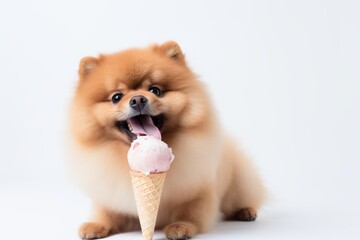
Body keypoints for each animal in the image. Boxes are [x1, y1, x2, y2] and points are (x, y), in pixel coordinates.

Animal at [67, 41, 264, 240]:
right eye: (116, 97)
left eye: (155, 90)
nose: (138, 99)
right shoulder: (111, 195)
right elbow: (106, 212)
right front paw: (95, 225)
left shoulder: (198, 191)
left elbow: (190, 212)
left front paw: (180, 226)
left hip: (237, 183)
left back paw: (246, 211)